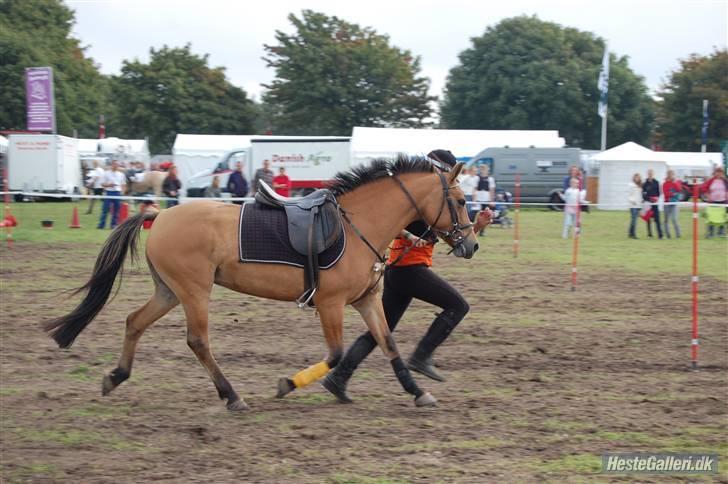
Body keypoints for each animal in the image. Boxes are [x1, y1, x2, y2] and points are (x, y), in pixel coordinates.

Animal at [45, 157, 478, 410]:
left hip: (169, 290)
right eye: (458, 201)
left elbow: (387, 345)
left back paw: (116, 376)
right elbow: (336, 353)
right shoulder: (331, 303)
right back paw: (232, 396)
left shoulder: (366, 300)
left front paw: (418, 391)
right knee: (198, 341)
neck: (359, 226)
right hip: (194, 291)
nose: (471, 244)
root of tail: (160, 216)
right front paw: (287, 384)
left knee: (134, 321)